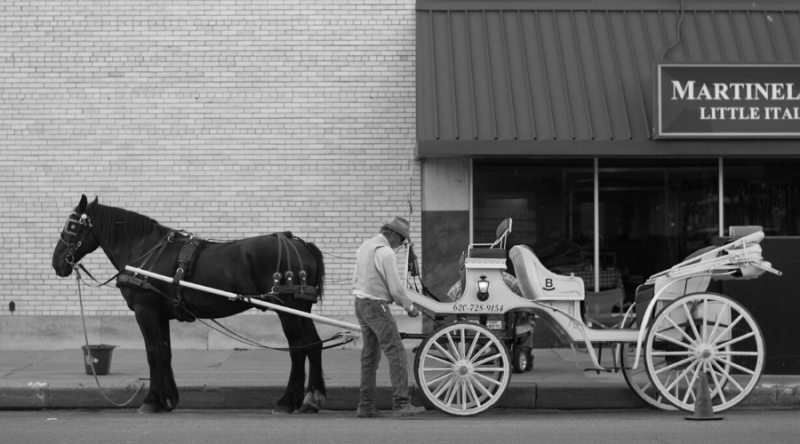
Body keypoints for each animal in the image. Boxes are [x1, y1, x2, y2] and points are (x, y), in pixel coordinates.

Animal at [52, 196, 324, 414]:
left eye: (72, 225)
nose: (56, 262)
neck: (145, 250)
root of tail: (300, 244)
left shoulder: (145, 311)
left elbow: (153, 353)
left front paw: (151, 401)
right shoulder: (160, 315)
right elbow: (164, 353)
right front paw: (168, 400)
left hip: (288, 310)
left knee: (298, 349)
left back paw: (287, 401)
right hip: (301, 309)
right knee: (314, 345)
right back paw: (311, 399)